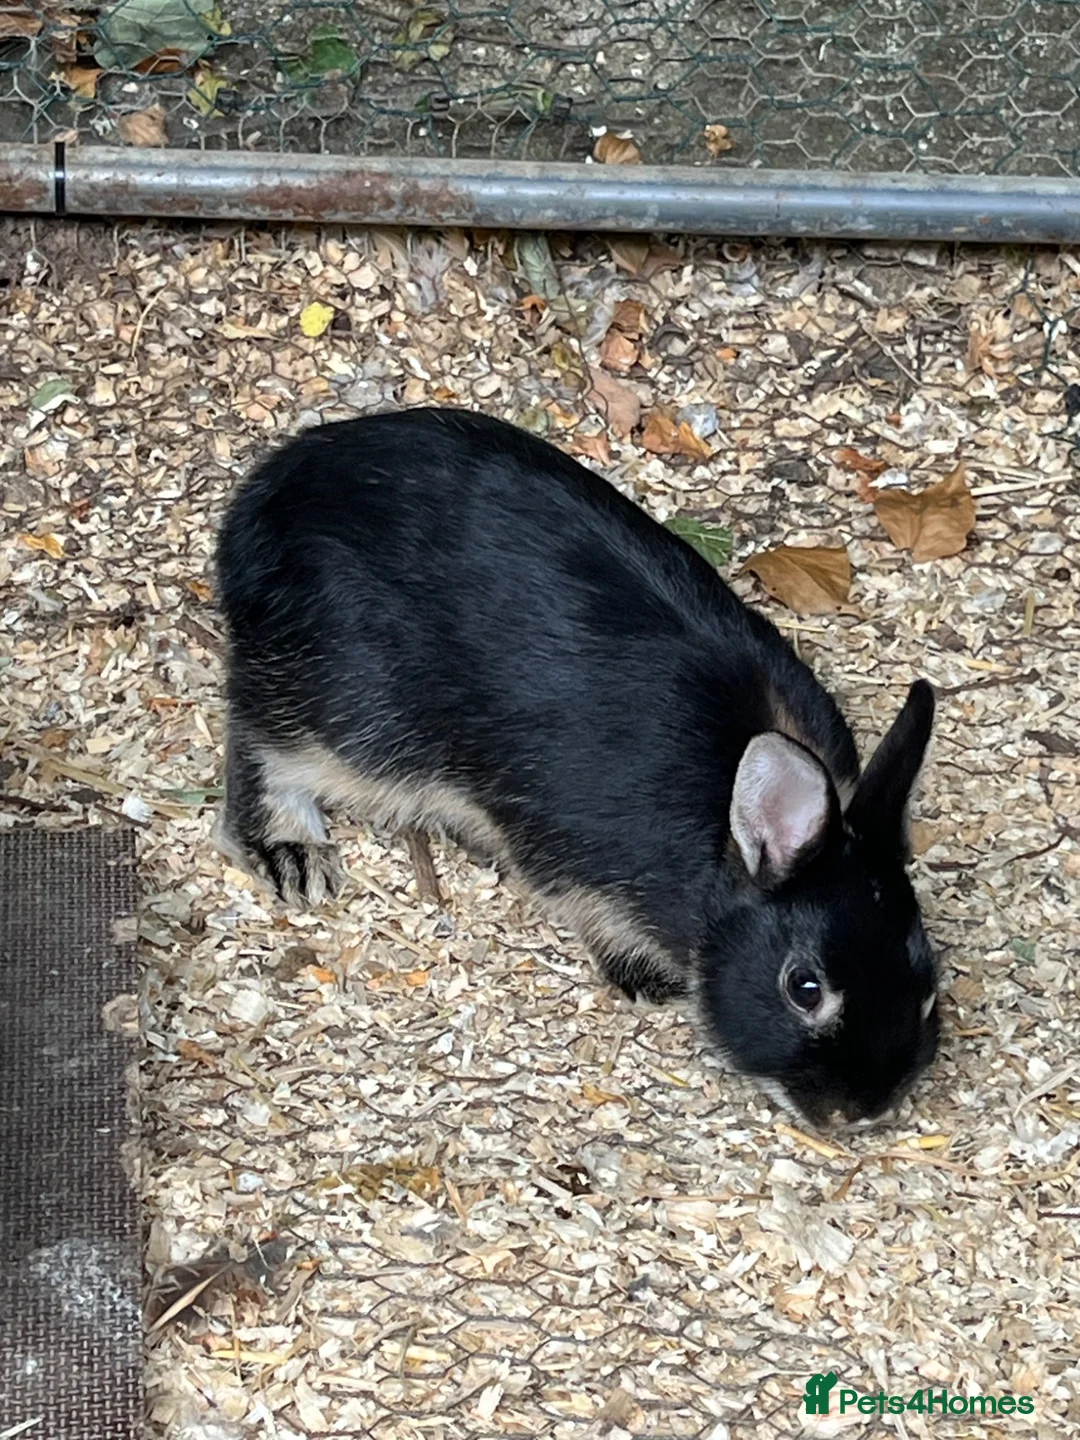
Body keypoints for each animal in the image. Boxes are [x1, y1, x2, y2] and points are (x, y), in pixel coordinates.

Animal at [214, 406, 940, 1127]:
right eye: (804, 988)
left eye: (928, 983)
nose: (860, 1112)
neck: (718, 845)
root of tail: (265, 503)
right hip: (354, 720)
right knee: (261, 741)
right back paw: (293, 853)